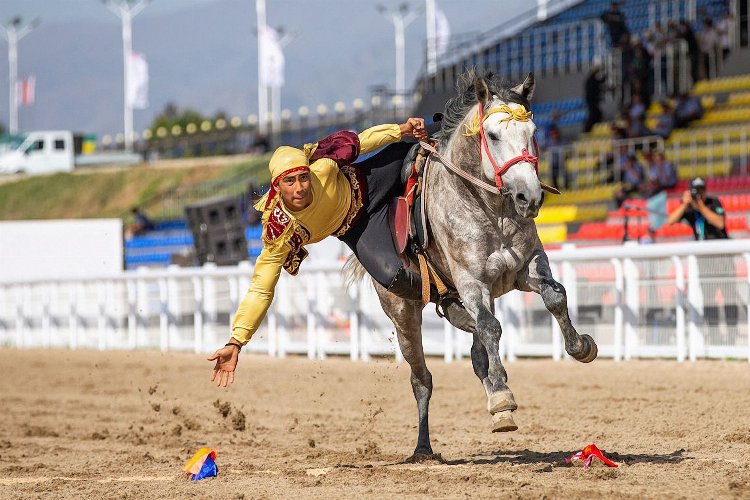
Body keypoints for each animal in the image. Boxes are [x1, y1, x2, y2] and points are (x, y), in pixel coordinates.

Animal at [346, 70, 600, 460]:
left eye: (533, 131)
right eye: (492, 135)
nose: (530, 197)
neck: (490, 209)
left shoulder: (526, 267)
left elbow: (554, 296)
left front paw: (580, 346)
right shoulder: (471, 282)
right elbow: (492, 328)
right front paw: (503, 397)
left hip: (458, 302)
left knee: (477, 349)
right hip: (404, 313)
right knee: (422, 377)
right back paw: (425, 447)